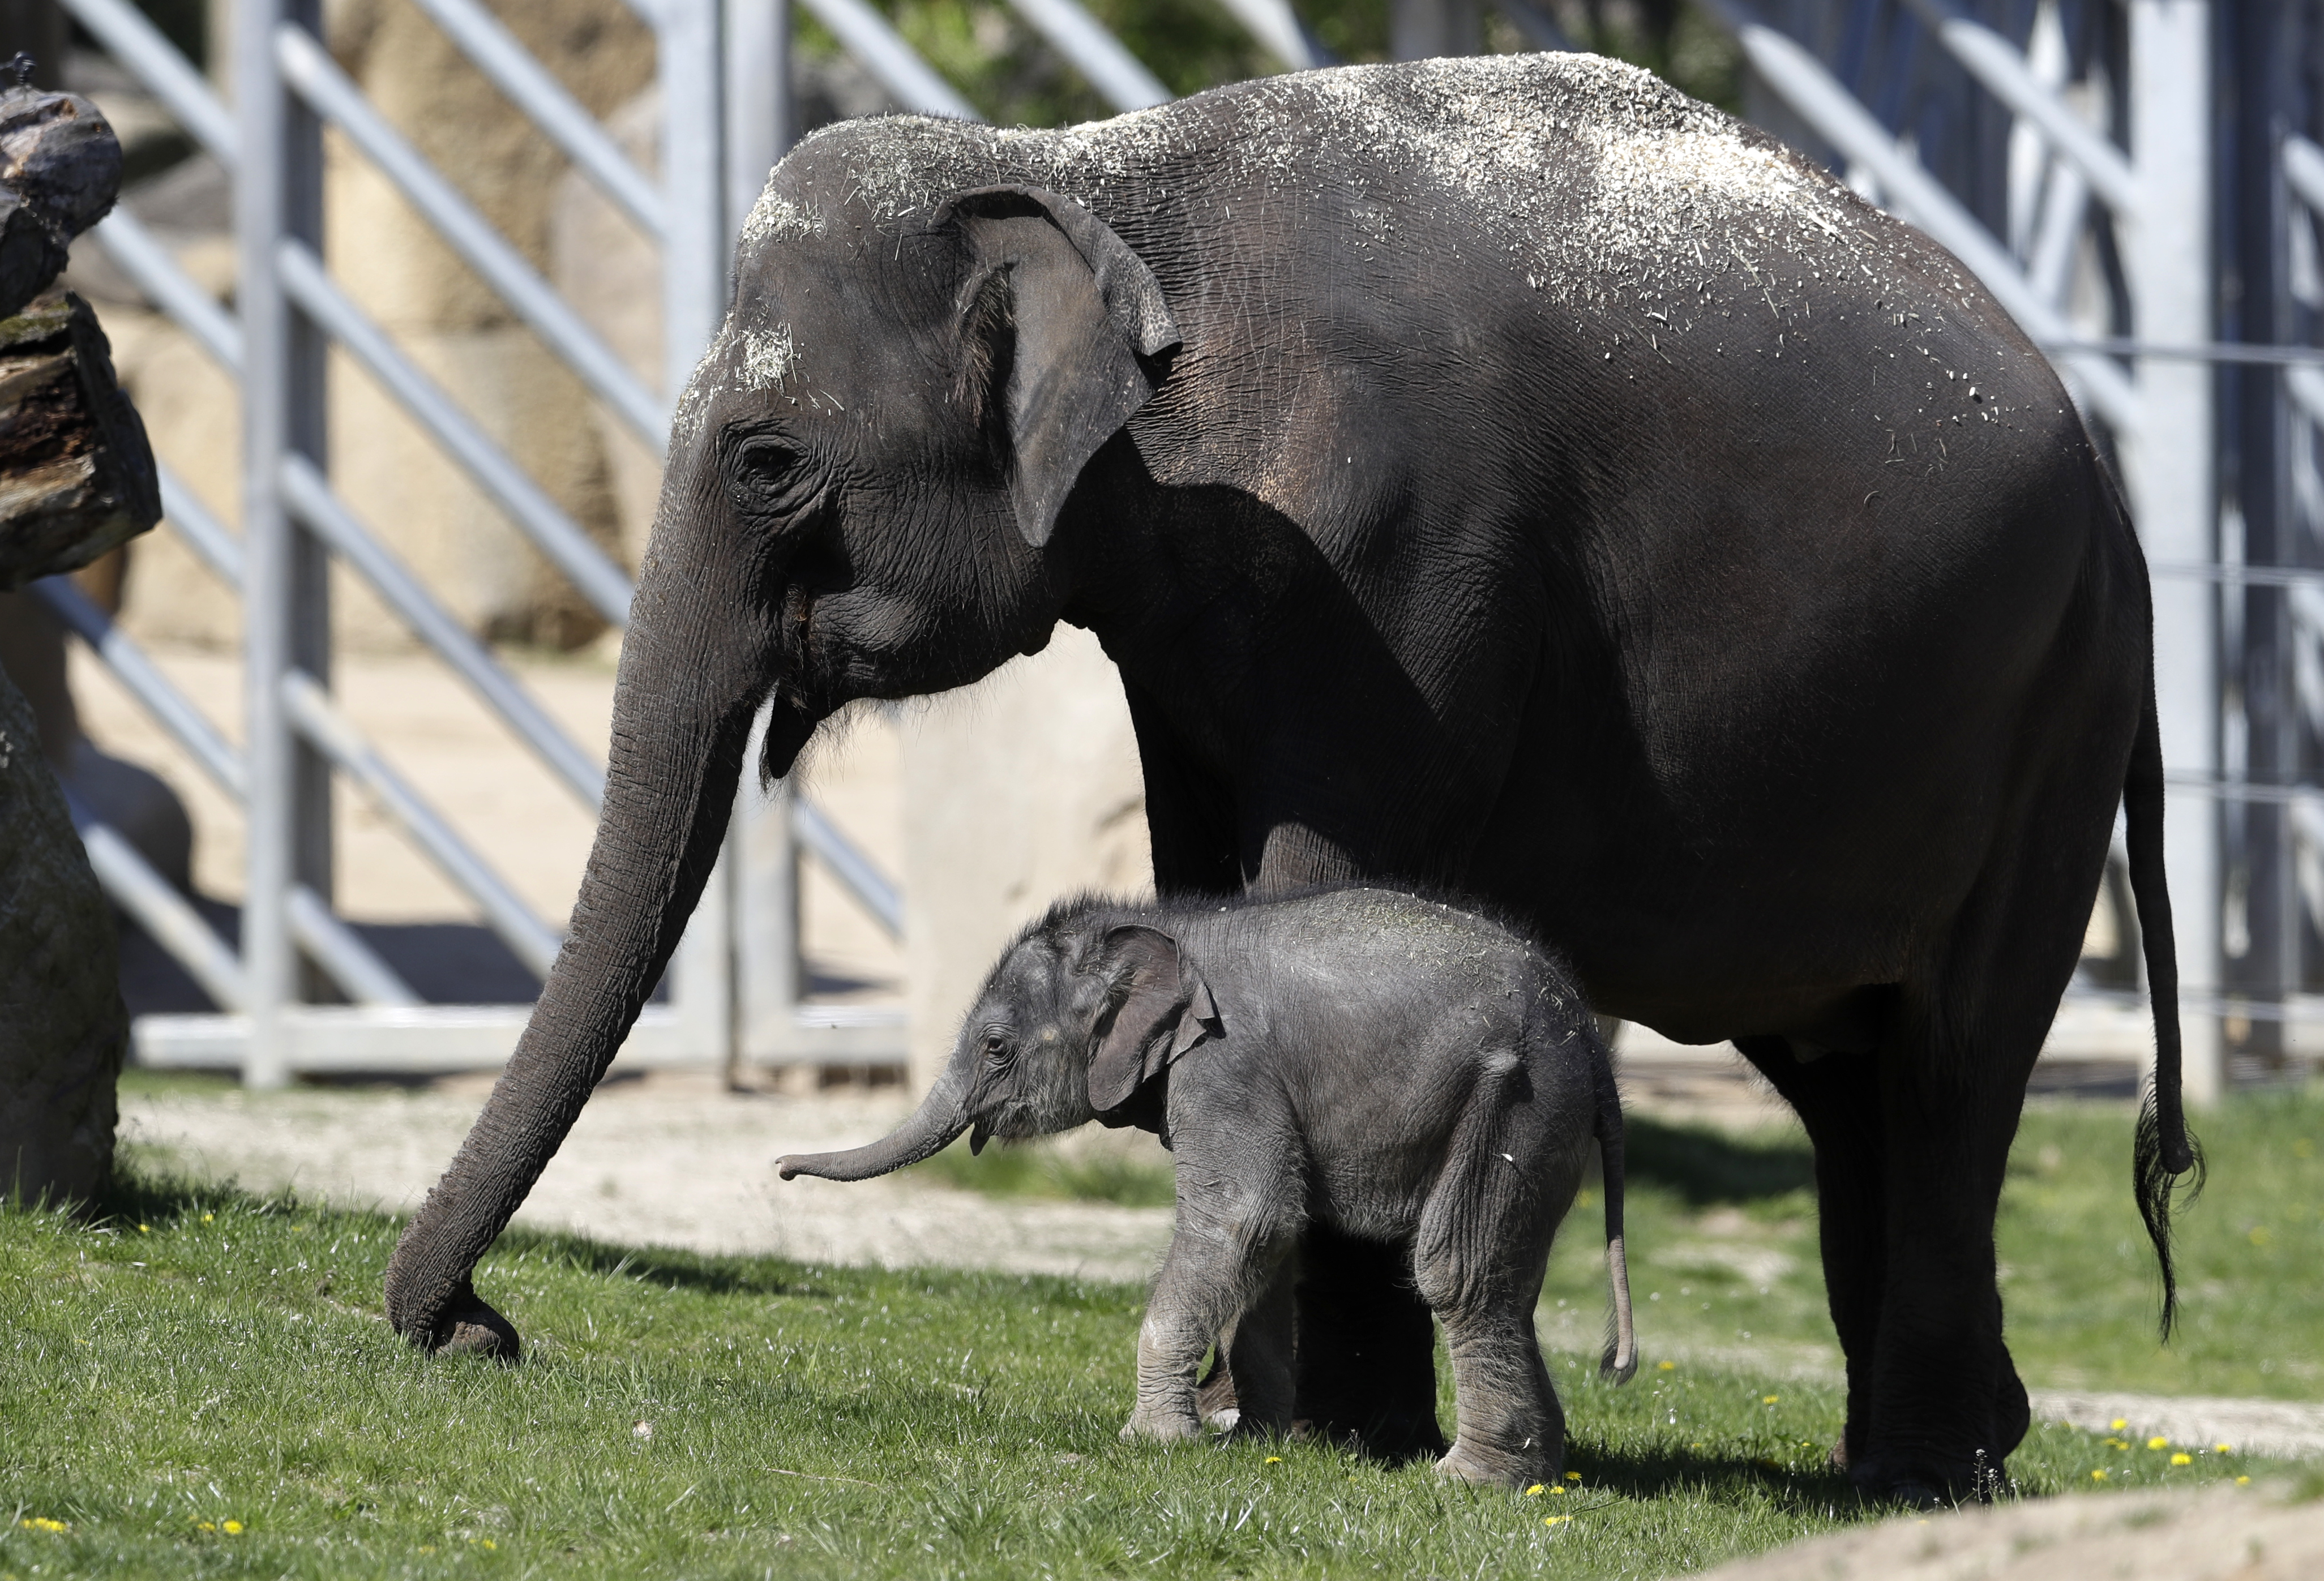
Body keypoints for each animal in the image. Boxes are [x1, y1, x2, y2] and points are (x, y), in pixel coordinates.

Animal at [776, 888, 1636, 1497]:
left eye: (994, 1047)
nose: (781, 1170)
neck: (1167, 928)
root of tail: (1594, 1045)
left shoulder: (1226, 1065)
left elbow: (1246, 1218)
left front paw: (1153, 1442)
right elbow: (1274, 1244)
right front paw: (1254, 1444)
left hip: (1519, 1100)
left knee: (1457, 1269)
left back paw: (1468, 1481)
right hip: (1545, 1121)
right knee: (1506, 1280)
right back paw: (1537, 1474)